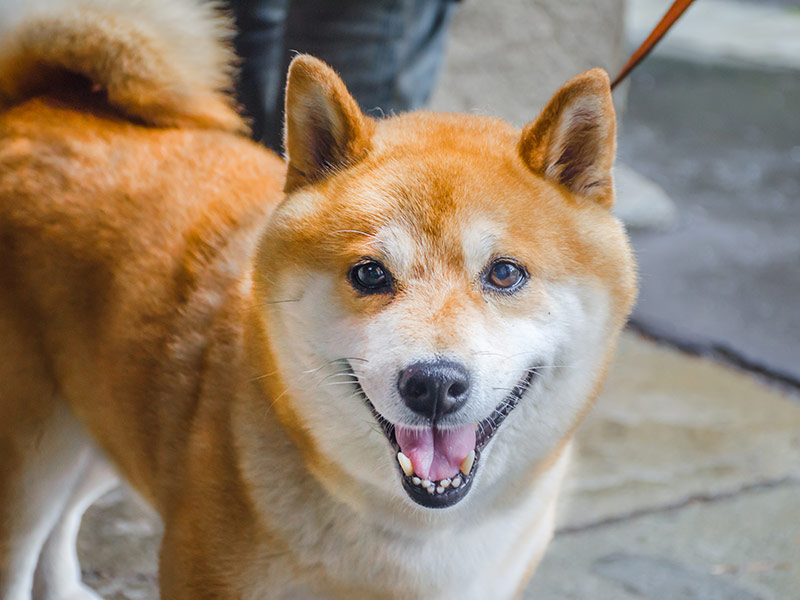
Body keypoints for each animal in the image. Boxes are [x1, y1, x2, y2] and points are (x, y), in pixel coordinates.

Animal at [0, 0, 637, 598]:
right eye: (370, 274)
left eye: (504, 273)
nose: (433, 384)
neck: (408, 543)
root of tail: (44, 101)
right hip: (34, 459)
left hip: (97, 414)